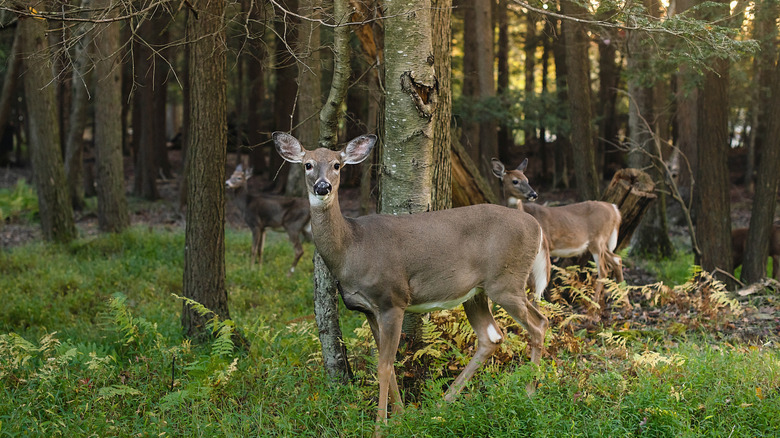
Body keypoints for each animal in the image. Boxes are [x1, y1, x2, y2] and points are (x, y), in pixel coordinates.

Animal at [274, 132, 550, 432]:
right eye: (308, 164)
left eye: (337, 165)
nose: (322, 186)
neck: (352, 247)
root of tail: (538, 228)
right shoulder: (369, 309)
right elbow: (387, 364)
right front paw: (401, 416)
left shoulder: (392, 299)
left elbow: (384, 366)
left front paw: (381, 427)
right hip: (477, 292)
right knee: (492, 337)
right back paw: (442, 405)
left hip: (506, 281)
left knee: (538, 324)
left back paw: (529, 393)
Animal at [491, 158, 625, 311]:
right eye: (515, 181)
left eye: (527, 179)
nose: (534, 194)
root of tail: (614, 209)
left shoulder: (545, 245)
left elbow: (535, 282)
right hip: (600, 242)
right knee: (616, 259)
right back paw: (623, 302)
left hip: (598, 239)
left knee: (603, 269)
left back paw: (593, 306)